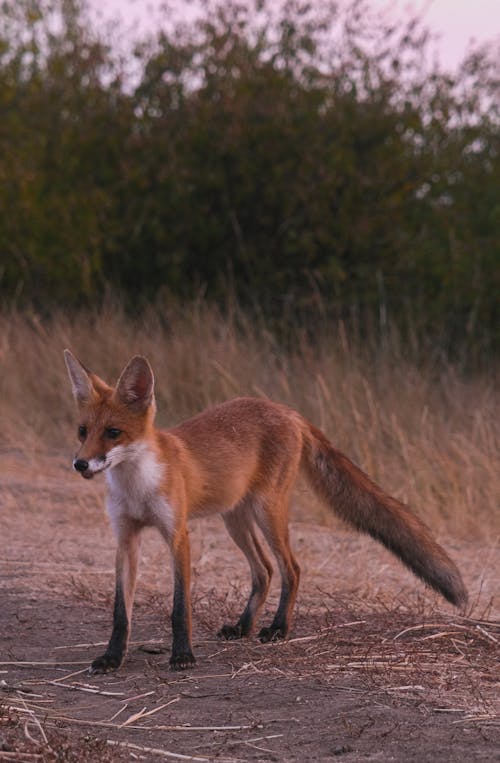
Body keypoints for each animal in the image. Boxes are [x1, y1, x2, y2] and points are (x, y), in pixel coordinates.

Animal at [63, 350, 468, 672]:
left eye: (113, 433)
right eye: (83, 431)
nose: (80, 464)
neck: (137, 487)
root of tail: (286, 409)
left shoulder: (177, 535)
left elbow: (180, 608)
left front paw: (183, 656)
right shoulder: (126, 537)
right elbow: (121, 612)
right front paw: (111, 658)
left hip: (267, 512)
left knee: (291, 568)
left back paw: (278, 629)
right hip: (235, 518)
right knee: (264, 571)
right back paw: (243, 626)